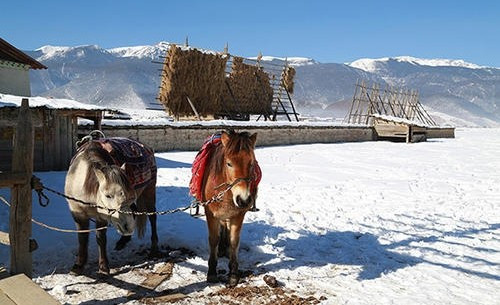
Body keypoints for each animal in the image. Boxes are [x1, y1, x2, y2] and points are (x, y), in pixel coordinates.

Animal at [65, 137, 157, 274]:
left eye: (132, 195)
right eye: (108, 195)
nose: (128, 227)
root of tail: (146, 147)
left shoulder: (100, 217)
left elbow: (101, 239)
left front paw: (103, 267)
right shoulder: (78, 214)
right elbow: (82, 239)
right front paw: (78, 265)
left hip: (149, 191)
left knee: (152, 217)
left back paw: (154, 249)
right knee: (135, 212)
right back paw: (123, 241)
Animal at [200, 129, 260, 286]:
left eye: (252, 163)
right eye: (229, 163)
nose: (243, 199)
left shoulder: (238, 215)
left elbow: (234, 241)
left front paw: (233, 274)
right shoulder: (211, 214)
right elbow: (213, 239)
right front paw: (212, 272)